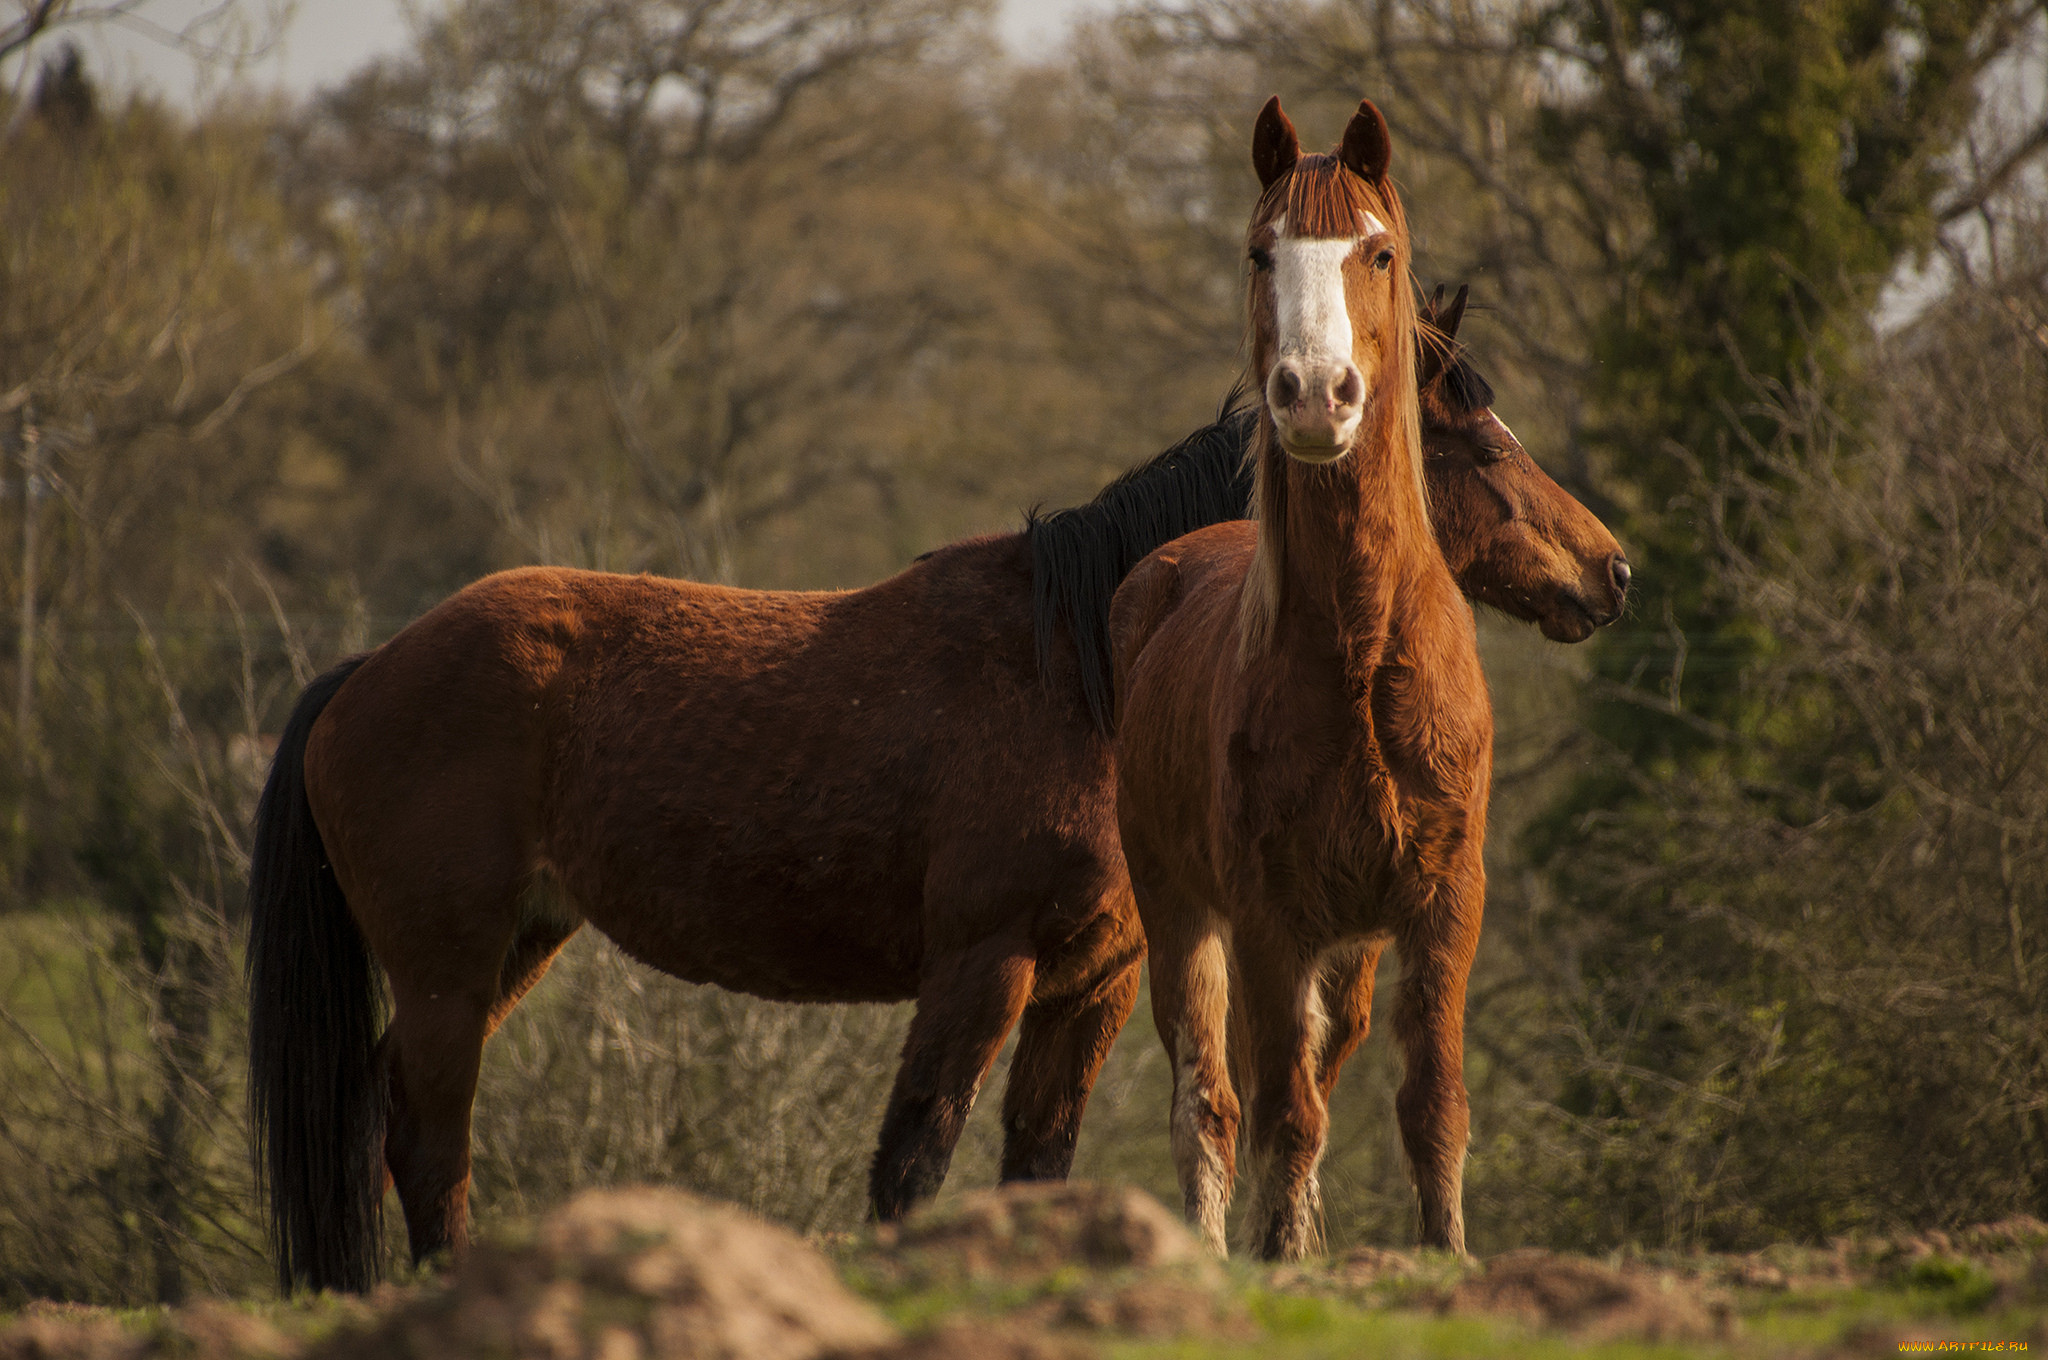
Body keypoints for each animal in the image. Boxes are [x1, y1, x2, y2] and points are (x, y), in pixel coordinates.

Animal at [243, 303, 1613, 1294]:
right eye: (1477, 446)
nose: (1609, 571)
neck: (1079, 663)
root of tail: (369, 668)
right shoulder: (978, 965)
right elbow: (915, 1157)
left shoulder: (1090, 982)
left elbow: (1038, 1163)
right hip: (450, 968)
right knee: (429, 1135)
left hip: (513, 947)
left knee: (382, 1111)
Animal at [1114, 98, 1499, 1261]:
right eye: (1259, 251)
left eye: (1377, 251)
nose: (1315, 396)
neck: (1361, 659)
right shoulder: (1267, 915)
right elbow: (1281, 1110)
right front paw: (1281, 1258)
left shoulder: (1442, 904)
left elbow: (1430, 1104)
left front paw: (1445, 1254)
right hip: (1183, 913)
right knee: (1210, 1097)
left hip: (1347, 950)